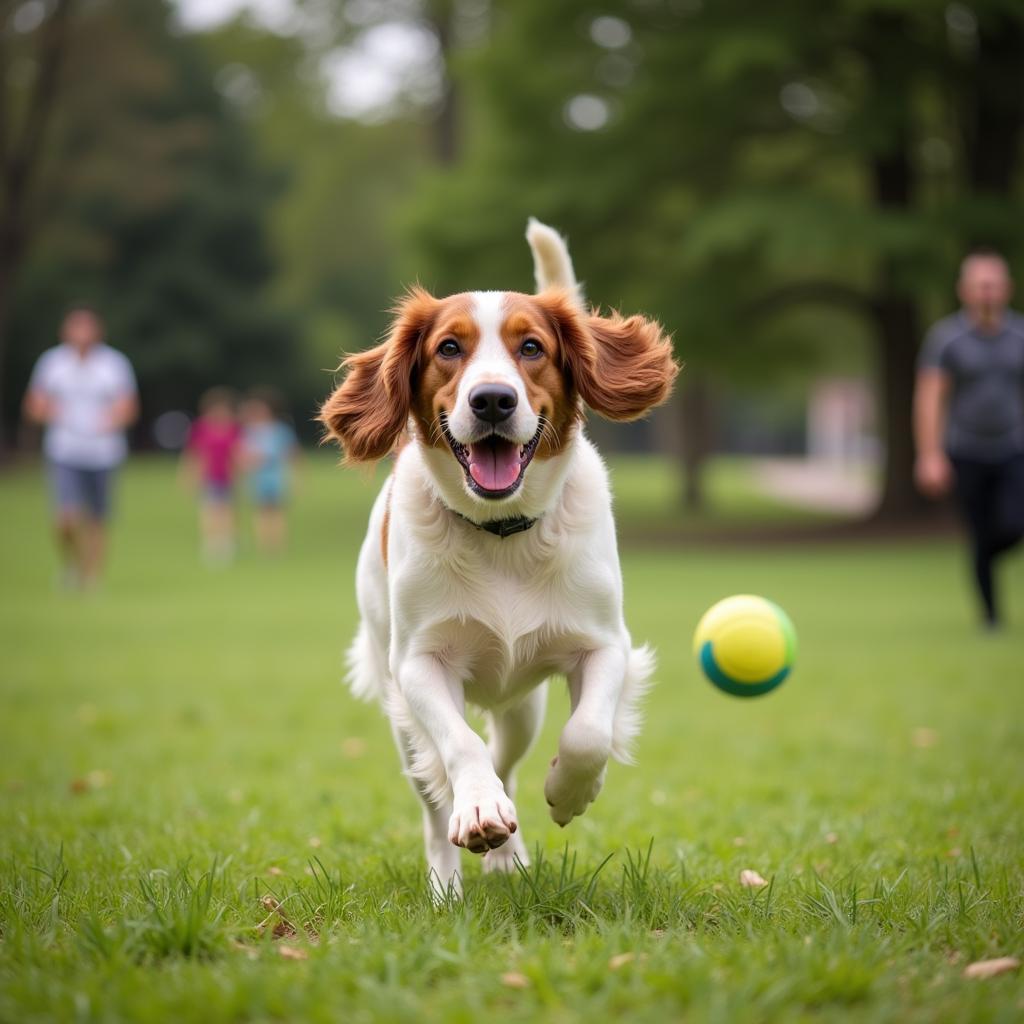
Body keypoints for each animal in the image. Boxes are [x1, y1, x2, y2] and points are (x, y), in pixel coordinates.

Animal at [315, 220, 675, 892]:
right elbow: (460, 748)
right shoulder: (418, 664)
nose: (491, 400)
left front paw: (568, 791)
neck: (501, 534)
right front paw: (479, 811)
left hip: (521, 707)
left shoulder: (603, 643)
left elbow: (588, 731)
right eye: (448, 348)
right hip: (401, 715)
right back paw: (448, 882)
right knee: (436, 800)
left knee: (506, 759)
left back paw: (510, 856)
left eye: (531, 347)